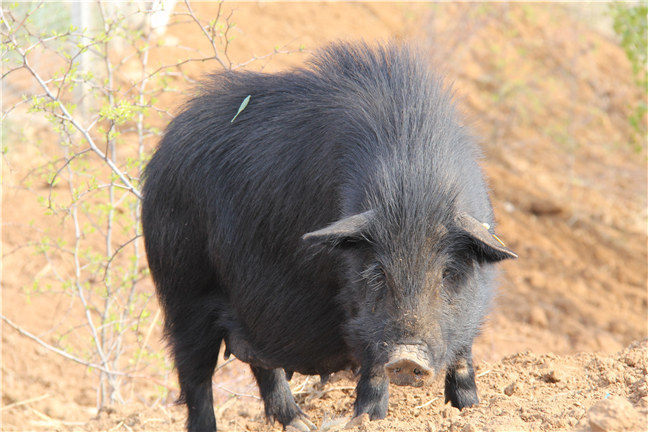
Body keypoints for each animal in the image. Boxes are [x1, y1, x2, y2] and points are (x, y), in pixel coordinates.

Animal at [142, 41, 516, 432]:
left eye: (447, 273)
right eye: (378, 273)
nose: (406, 358)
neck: (412, 185)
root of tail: (161, 154)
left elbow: (463, 356)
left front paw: (470, 409)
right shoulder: (354, 306)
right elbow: (371, 360)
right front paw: (368, 418)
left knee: (260, 361)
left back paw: (300, 423)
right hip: (183, 292)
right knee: (195, 378)